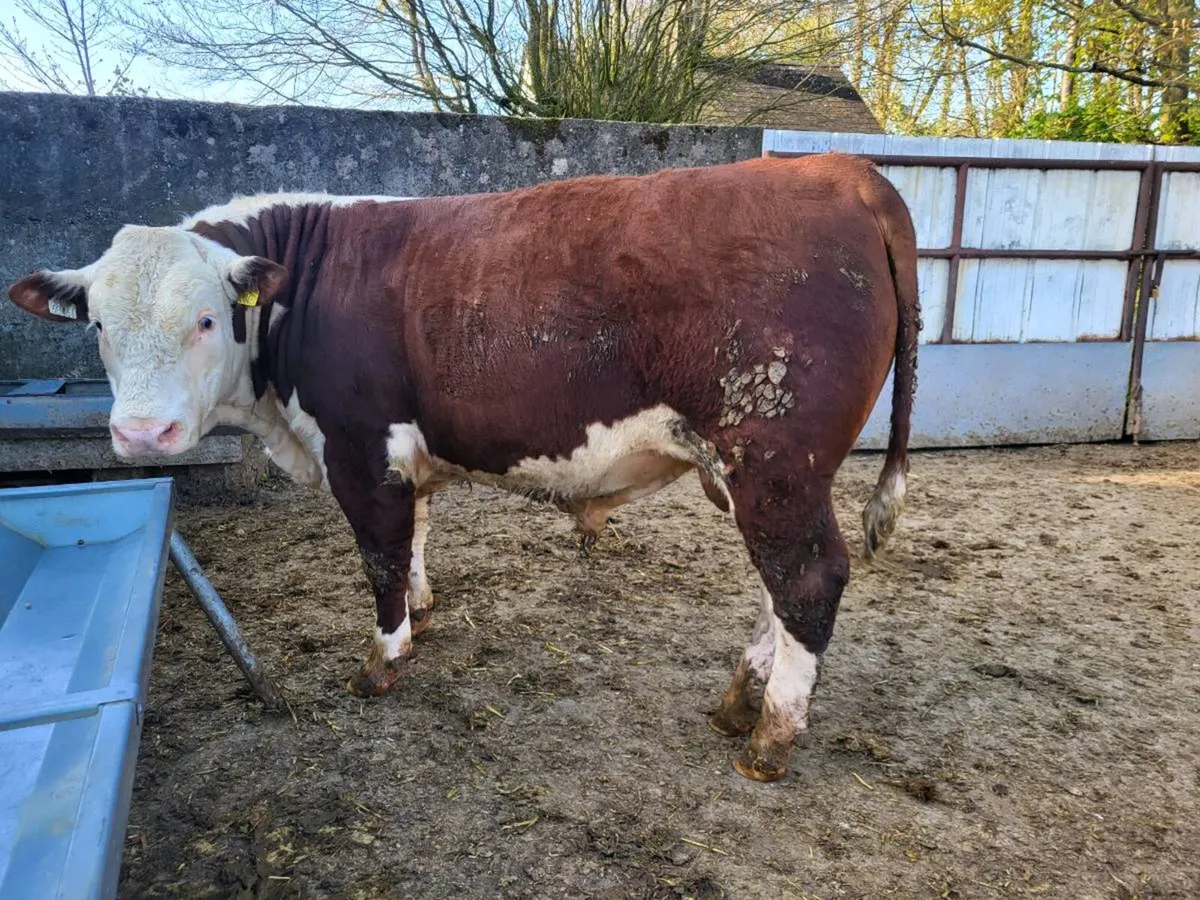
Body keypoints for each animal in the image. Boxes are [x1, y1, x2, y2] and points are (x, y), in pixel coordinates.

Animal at [8, 153, 918, 781]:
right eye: (97, 325)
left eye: (205, 319)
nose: (142, 433)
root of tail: (838, 168)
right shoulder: (404, 457)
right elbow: (414, 536)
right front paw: (423, 608)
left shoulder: (359, 448)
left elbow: (379, 554)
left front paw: (383, 660)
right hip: (763, 474)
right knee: (781, 586)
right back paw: (739, 699)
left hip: (773, 458)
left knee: (807, 580)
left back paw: (771, 737)